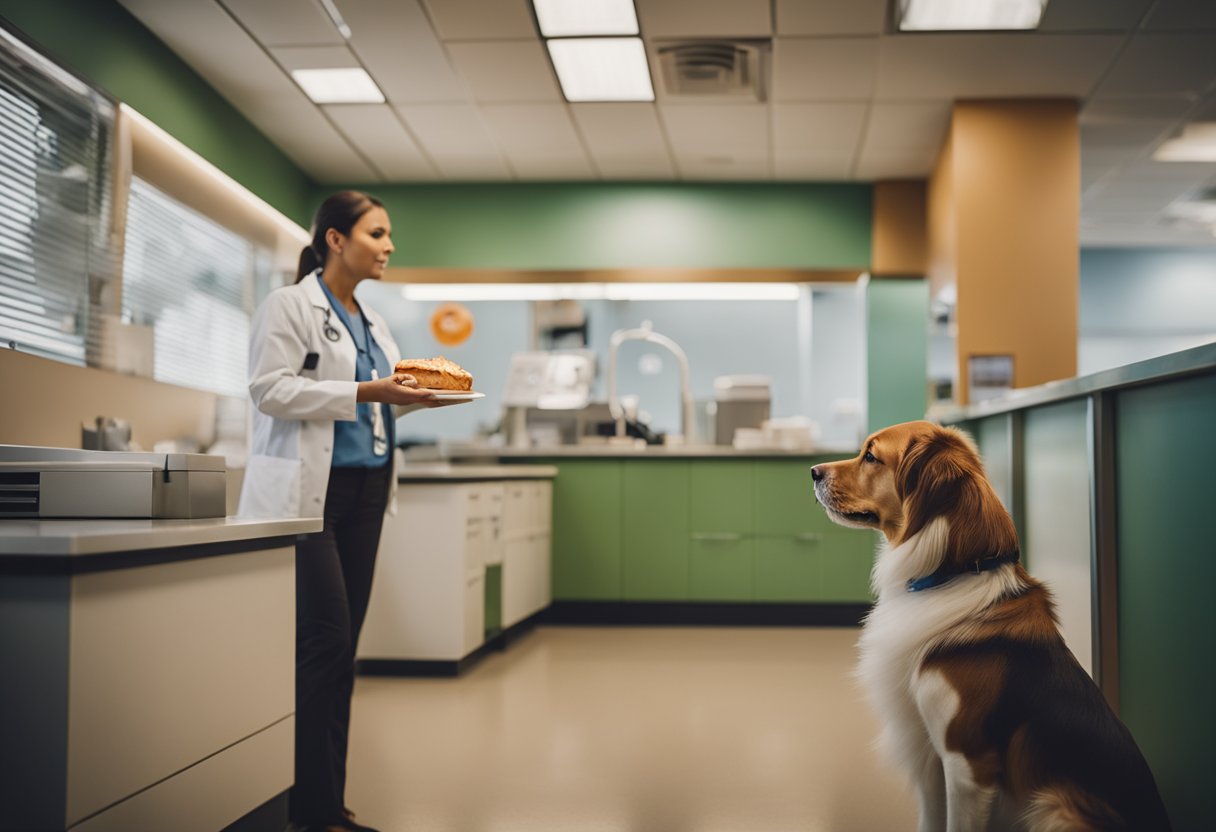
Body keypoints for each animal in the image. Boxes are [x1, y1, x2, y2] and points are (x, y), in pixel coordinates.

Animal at [817, 423, 1167, 832]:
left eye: (870, 456)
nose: (813, 471)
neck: (954, 573)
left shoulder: (966, 764)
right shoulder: (931, 760)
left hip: (1054, 805)